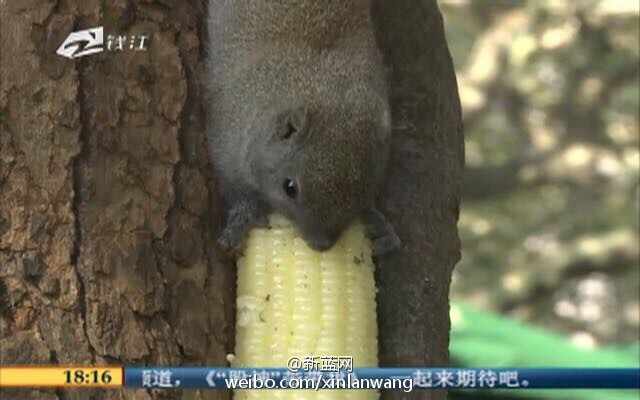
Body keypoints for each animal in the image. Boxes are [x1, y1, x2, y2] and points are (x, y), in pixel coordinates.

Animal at [208, 0, 398, 256]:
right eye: (290, 188)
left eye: (365, 189)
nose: (321, 245)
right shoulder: (225, 144)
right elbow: (234, 188)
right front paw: (243, 218)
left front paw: (379, 224)